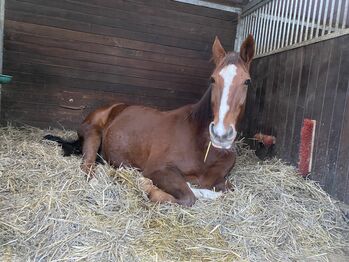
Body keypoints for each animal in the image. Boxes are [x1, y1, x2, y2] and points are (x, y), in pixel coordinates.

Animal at [44, 35, 254, 207]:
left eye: (247, 81)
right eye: (212, 79)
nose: (221, 134)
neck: (204, 150)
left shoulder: (222, 181)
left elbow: (226, 190)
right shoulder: (158, 169)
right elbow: (188, 196)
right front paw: (145, 184)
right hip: (92, 135)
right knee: (87, 164)